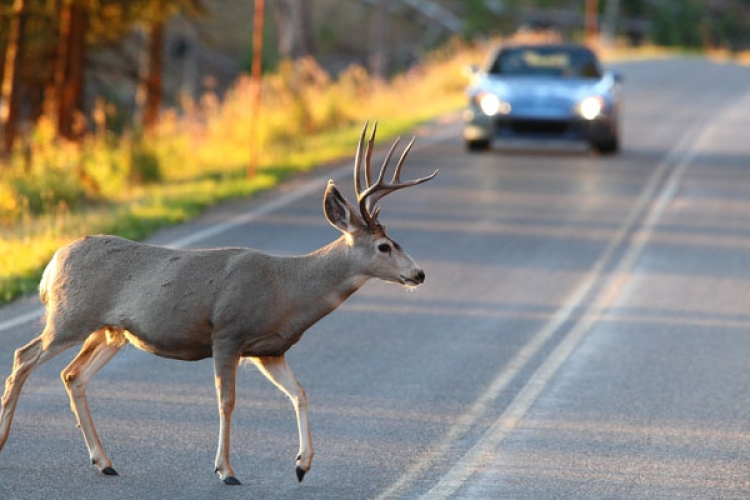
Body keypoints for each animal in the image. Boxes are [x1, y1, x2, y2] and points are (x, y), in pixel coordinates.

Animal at [0, 121, 434, 484]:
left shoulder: (269, 349)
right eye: (384, 246)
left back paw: (104, 462)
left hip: (110, 331)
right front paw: (226, 470)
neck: (287, 289)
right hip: (70, 316)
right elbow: (227, 402)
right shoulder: (228, 333)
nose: (419, 274)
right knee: (23, 357)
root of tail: (52, 265)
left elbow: (299, 392)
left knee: (73, 375)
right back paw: (8, 441)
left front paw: (302, 464)